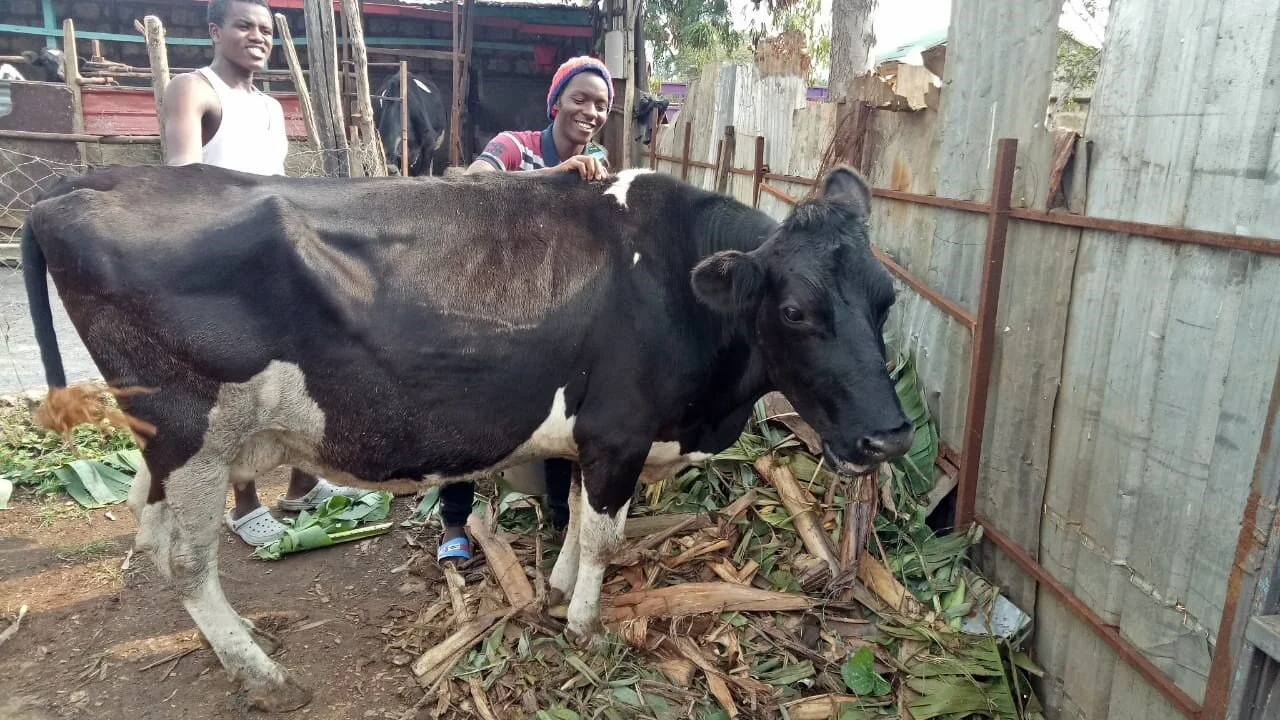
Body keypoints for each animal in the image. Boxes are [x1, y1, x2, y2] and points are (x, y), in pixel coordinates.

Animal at [21, 164, 912, 711]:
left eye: (887, 298)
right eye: (795, 310)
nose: (889, 438)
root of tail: (79, 187)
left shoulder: (590, 439)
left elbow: (574, 516)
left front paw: (553, 589)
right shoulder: (620, 432)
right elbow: (604, 535)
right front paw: (584, 625)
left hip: (167, 445)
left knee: (149, 523)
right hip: (195, 435)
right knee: (187, 562)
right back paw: (264, 676)